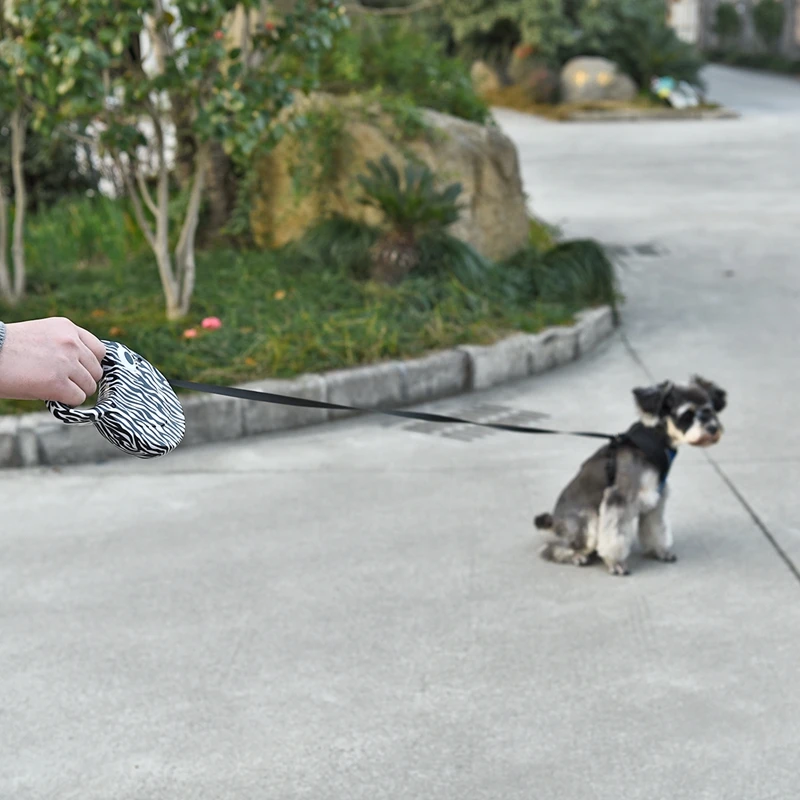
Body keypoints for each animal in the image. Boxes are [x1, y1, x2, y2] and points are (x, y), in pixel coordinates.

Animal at [533, 376, 727, 576]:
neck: (655, 441)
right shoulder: (619, 499)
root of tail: (553, 521)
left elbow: (656, 528)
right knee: (550, 549)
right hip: (589, 523)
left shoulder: (656, 499)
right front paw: (615, 562)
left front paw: (660, 551)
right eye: (686, 415)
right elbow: (614, 536)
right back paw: (576, 556)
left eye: (710, 410)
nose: (713, 429)